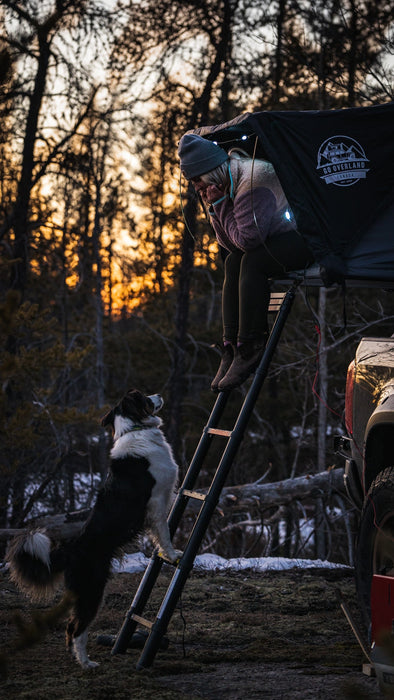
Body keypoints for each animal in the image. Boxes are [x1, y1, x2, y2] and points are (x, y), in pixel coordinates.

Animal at [6, 392, 180, 668]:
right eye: (143, 396)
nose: (159, 395)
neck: (135, 428)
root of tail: (71, 550)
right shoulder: (156, 502)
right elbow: (163, 533)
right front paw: (172, 555)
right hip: (92, 591)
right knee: (77, 629)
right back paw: (87, 664)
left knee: (70, 628)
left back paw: (78, 660)